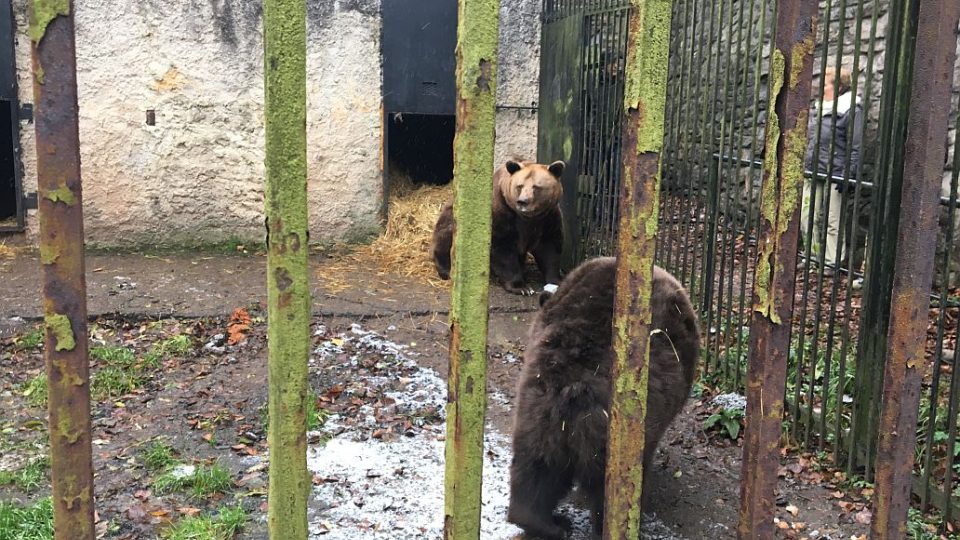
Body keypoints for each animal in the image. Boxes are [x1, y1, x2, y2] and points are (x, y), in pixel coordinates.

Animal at [432, 158, 568, 296]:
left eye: (536, 187)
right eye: (520, 186)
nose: (522, 201)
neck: (527, 218)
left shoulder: (547, 218)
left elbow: (550, 249)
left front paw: (556, 281)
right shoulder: (502, 214)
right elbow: (502, 250)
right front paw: (522, 287)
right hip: (452, 220)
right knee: (446, 240)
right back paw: (447, 271)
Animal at [506, 256, 700, 536]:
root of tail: (574, 388)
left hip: (537, 411)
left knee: (535, 469)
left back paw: (548, 523)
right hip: (613, 438)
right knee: (608, 491)